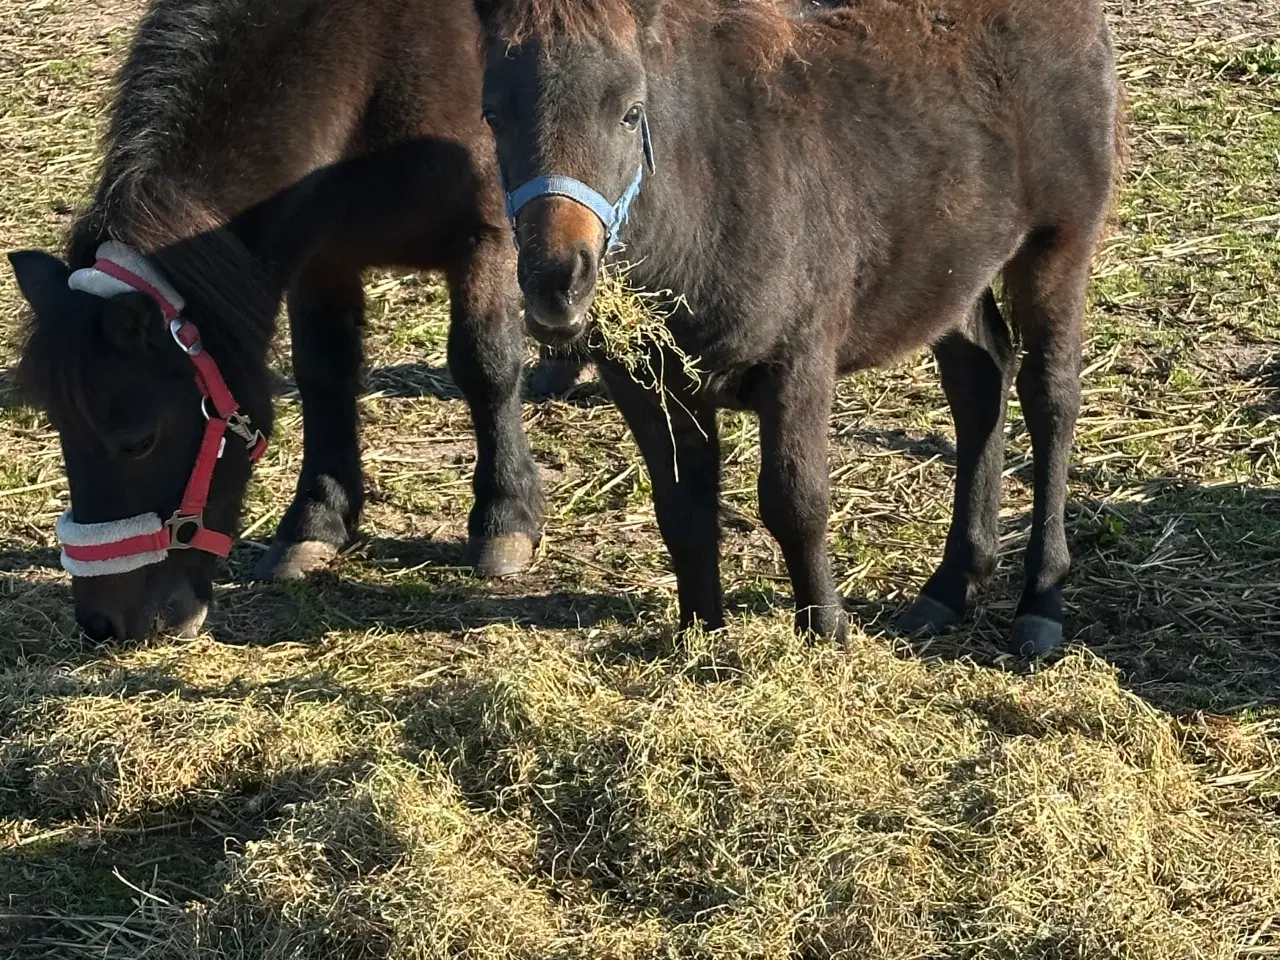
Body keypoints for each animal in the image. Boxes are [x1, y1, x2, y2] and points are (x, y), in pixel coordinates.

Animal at [473, 0, 1121, 655]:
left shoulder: (799, 363)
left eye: (631, 113)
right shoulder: (645, 386)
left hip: (1058, 246)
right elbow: (683, 508)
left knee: (1051, 400)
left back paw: (1039, 602)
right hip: (951, 268)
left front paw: (826, 632)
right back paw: (951, 585)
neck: (708, 196)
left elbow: (795, 502)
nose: (558, 283)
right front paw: (703, 637)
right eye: (493, 115)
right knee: (980, 381)